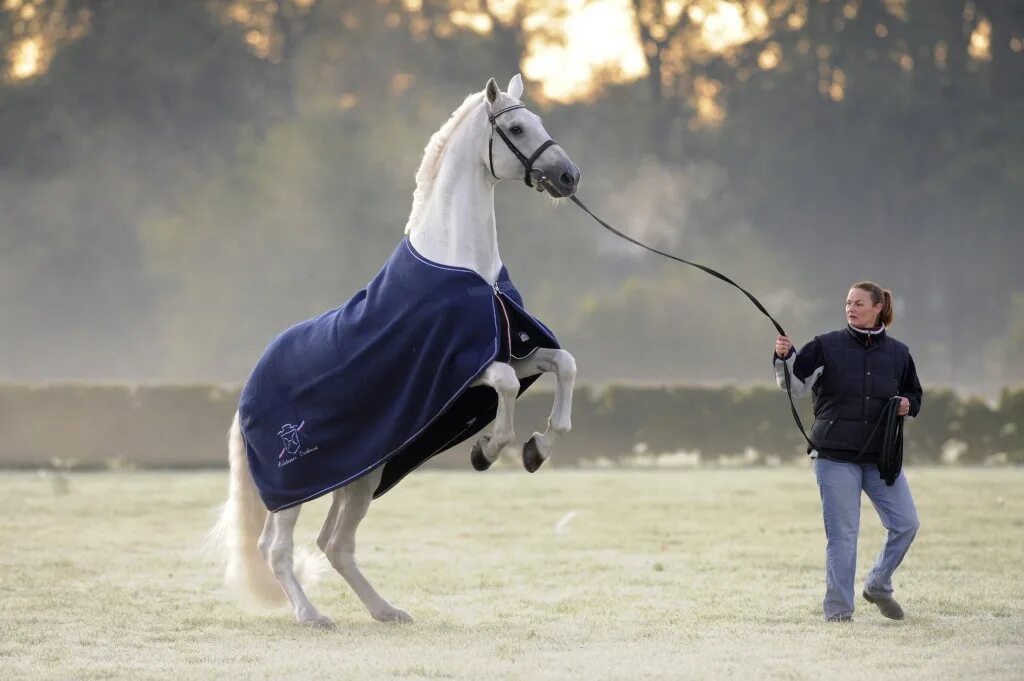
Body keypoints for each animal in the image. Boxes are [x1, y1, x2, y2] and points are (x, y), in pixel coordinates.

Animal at [211, 75, 581, 626]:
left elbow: (563, 364)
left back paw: (385, 611)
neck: (464, 264)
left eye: (538, 121)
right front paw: (488, 449)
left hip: (363, 473)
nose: (568, 175)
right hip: (292, 486)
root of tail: (244, 397)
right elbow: (506, 385)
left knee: (335, 543)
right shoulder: (461, 369)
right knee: (275, 547)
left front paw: (538, 448)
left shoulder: (514, 351)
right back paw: (311, 616)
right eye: (516, 128)